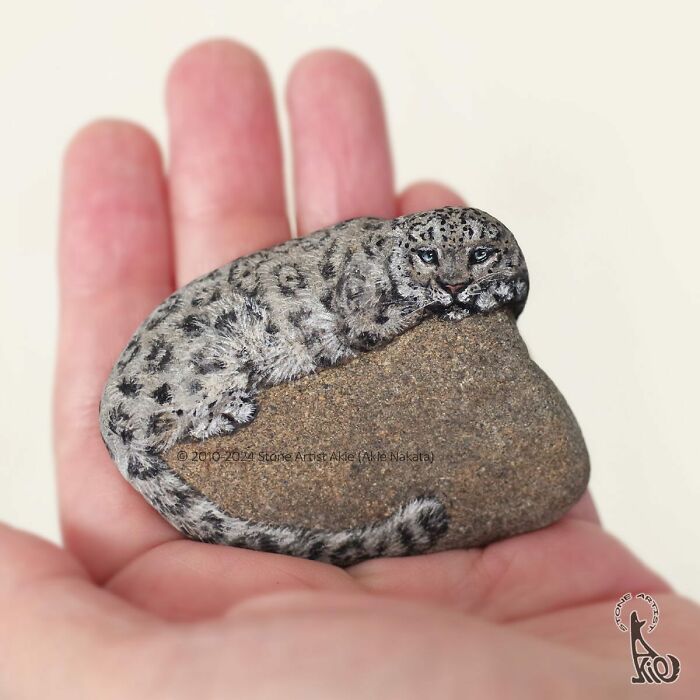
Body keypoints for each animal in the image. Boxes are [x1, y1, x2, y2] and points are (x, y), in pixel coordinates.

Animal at [99, 206, 529, 566]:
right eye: (427, 255)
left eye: (480, 254)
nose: (454, 285)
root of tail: (108, 422)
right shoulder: (365, 313)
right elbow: (406, 307)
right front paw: (484, 294)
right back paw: (234, 409)